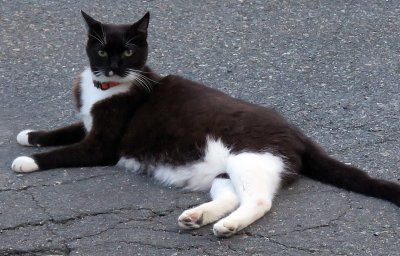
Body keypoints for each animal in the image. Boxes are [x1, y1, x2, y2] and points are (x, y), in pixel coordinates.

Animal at [10, 11, 398, 237]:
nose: (113, 67)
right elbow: (65, 130)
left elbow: (65, 152)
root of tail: (298, 133)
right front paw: (29, 134)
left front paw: (26, 160)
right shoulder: (89, 123)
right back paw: (198, 216)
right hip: (228, 168)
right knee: (230, 194)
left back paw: (227, 226)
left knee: (259, 201)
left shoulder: (102, 145)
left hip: (249, 156)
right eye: (103, 51)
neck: (105, 88)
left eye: (129, 52)